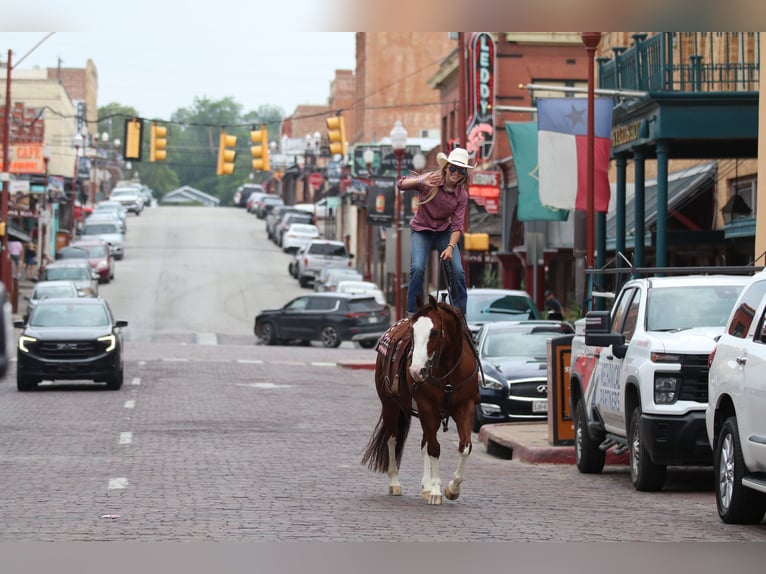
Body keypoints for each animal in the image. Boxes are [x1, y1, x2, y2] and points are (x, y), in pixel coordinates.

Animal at [362, 294, 480, 506]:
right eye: (413, 331)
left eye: (434, 332)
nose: (416, 370)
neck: (448, 369)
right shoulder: (427, 407)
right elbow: (434, 448)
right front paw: (436, 491)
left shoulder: (465, 407)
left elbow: (465, 446)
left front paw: (452, 489)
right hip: (390, 405)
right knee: (392, 438)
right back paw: (395, 482)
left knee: (424, 442)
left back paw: (425, 487)